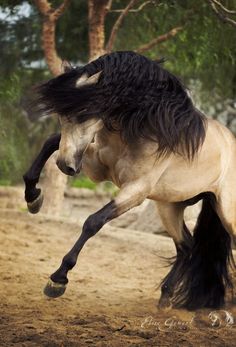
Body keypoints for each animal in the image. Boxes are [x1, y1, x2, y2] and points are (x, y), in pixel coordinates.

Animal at [23, 51, 235, 310]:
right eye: (61, 115)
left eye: (83, 113)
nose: (66, 166)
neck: (146, 128)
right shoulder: (97, 167)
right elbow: (51, 142)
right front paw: (33, 198)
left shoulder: (135, 191)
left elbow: (93, 221)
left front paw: (58, 279)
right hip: (169, 207)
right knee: (186, 246)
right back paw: (165, 298)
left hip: (227, 215)